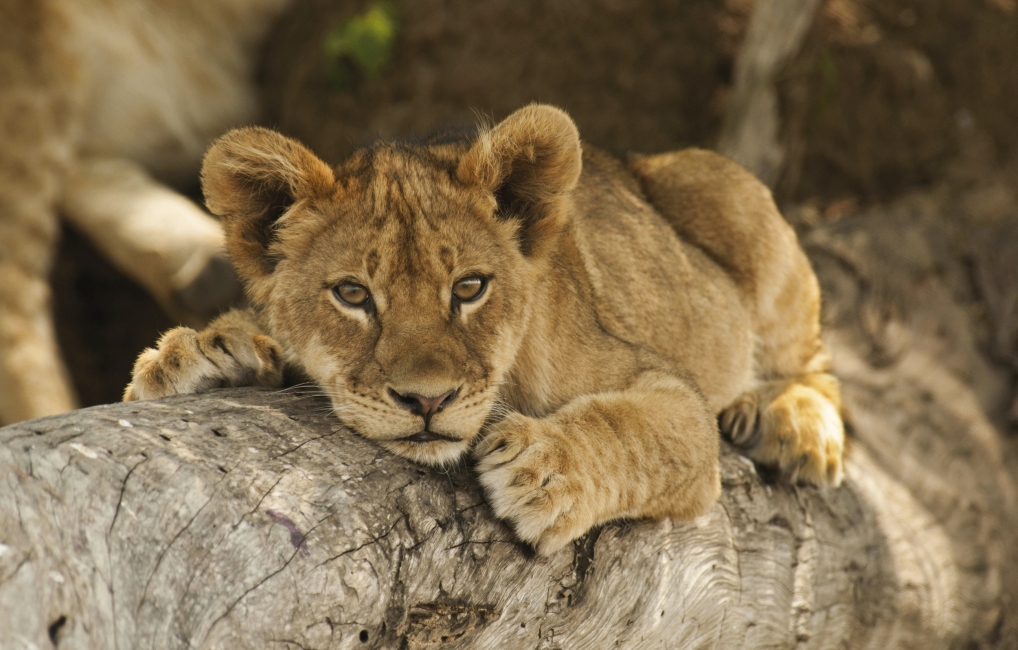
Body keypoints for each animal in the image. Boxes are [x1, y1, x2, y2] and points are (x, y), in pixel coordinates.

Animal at [124, 104, 845, 554]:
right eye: (353, 294)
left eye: (469, 288)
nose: (427, 401)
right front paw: (200, 354)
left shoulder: (669, 390)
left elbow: (639, 431)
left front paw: (542, 471)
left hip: (732, 198)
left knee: (817, 362)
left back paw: (796, 423)